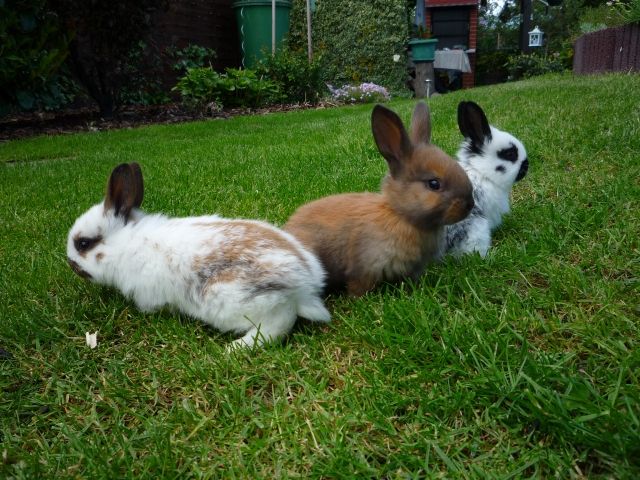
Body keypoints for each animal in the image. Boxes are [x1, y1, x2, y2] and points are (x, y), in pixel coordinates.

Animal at [66, 162, 330, 350]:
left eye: (83, 243)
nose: (70, 263)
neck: (123, 243)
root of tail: (305, 285)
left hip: (244, 301)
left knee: (277, 325)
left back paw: (234, 349)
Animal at [284, 102, 474, 297]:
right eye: (434, 184)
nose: (470, 204)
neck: (401, 216)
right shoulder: (364, 267)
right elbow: (358, 285)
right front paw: (356, 298)